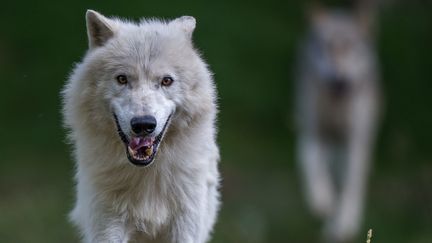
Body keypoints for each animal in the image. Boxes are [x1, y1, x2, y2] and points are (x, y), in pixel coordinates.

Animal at [61, 9, 219, 243]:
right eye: (122, 79)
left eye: (166, 81)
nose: (143, 124)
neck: (147, 174)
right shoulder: (108, 225)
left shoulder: (185, 225)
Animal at [296, 3, 380, 243]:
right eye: (327, 47)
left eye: (350, 47)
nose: (338, 79)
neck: (336, 109)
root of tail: (339, 10)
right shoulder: (315, 131)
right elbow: (313, 164)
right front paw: (322, 199)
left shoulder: (355, 143)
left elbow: (350, 187)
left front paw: (343, 225)